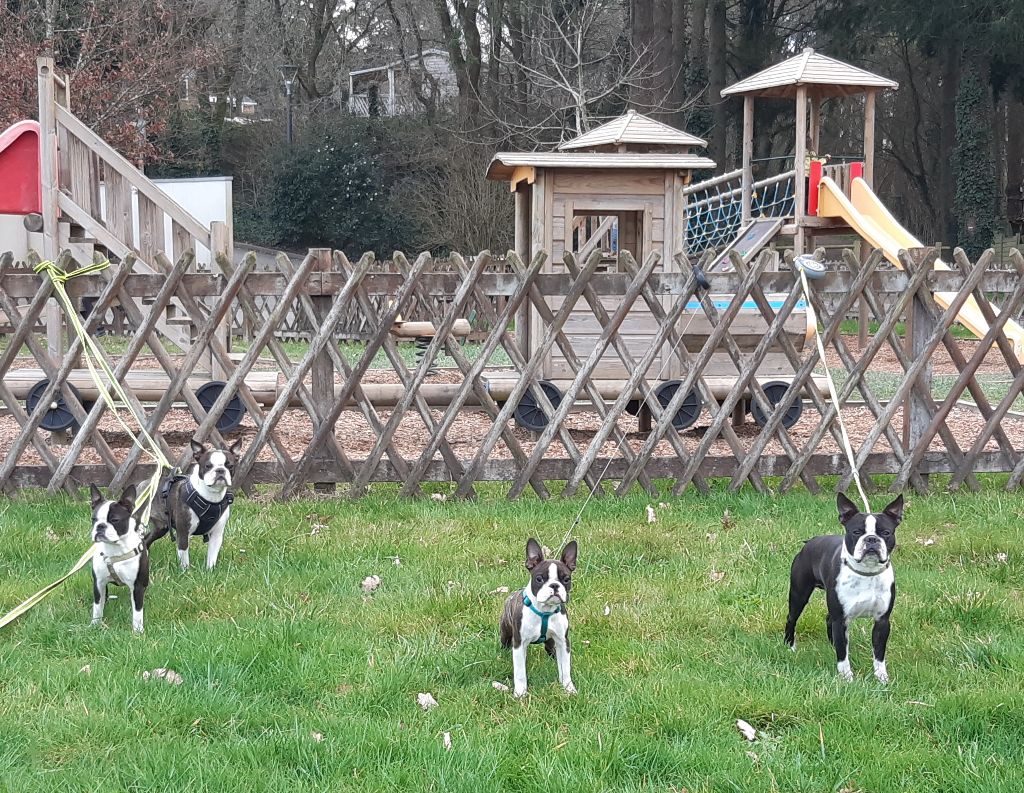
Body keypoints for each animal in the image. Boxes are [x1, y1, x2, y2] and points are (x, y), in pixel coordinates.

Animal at [89, 483, 148, 635]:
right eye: (94, 519)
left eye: (115, 520)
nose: (100, 526)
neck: (115, 549)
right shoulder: (98, 583)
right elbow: (97, 607)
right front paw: (95, 625)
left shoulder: (137, 586)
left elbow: (137, 612)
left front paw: (137, 631)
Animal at [144, 440, 241, 569]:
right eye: (208, 466)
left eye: (230, 466)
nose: (220, 470)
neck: (211, 497)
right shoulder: (183, 533)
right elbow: (184, 557)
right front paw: (186, 571)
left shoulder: (217, 535)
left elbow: (212, 557)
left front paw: (210, 570)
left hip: (161, 528)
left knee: (146, 540)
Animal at [497, 540, 577, 700]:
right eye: (539, 579)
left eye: (566, 579)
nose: (554, 585)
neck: (544, 611)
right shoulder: (519, 643)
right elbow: (520, 672)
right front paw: (520, 693)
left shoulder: (563, 641)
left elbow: (565, 668)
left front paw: (569, 689)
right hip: (506, 634)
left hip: (551, 642)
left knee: (551, 650)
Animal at [782, 489, 905, 684]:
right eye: (856, 532)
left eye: (886, 532)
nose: (871, 539)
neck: (866, 573)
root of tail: (810, 542)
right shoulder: (840, 619)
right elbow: (842, 656)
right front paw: (846, 677)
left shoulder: (882, 621)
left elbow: (879, 654)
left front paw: (882, 678)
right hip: (799, 594)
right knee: (791, 618)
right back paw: (790, 646)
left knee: (828, 619)